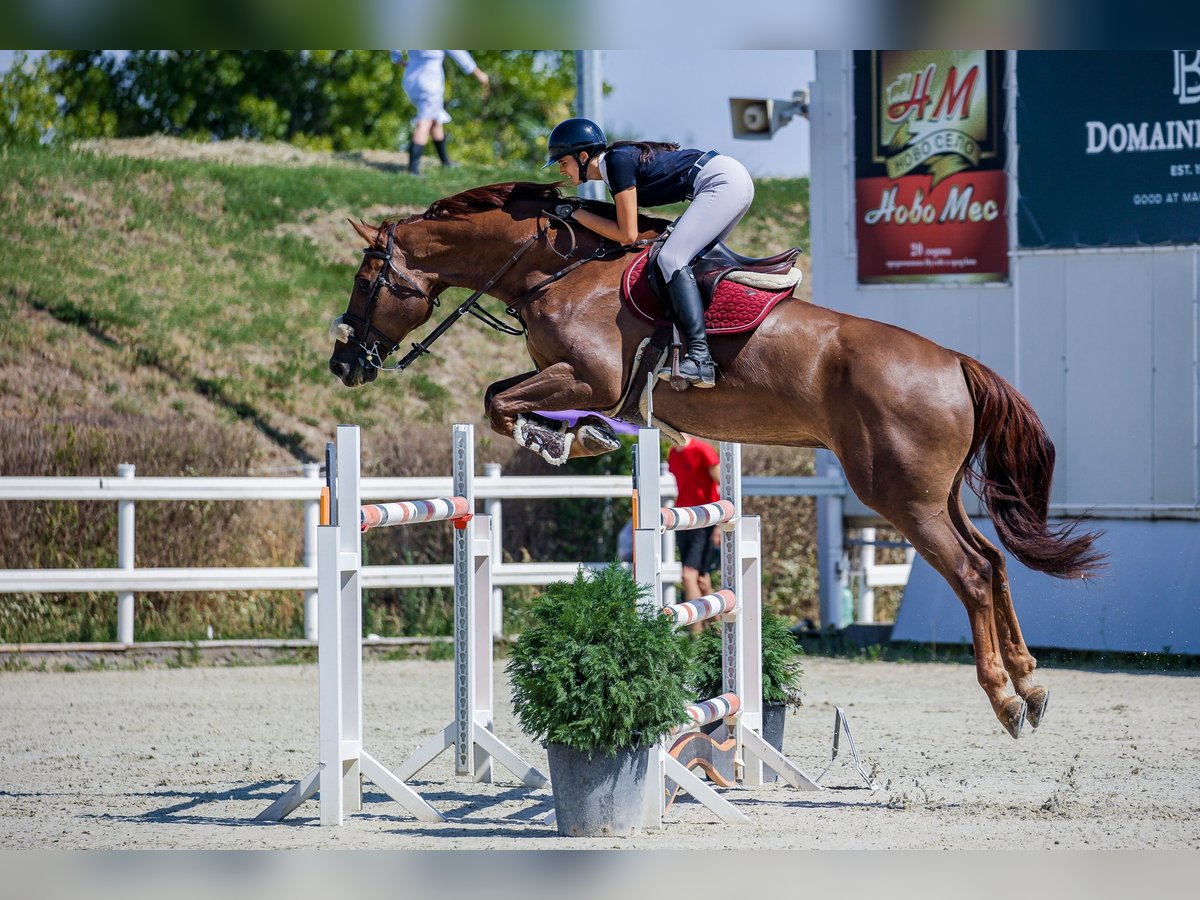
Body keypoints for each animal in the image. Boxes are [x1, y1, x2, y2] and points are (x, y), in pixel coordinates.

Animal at [328, 181, 1105, 740]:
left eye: (366, 280)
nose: (345, 364)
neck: (554, 269)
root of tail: (953, 363)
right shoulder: (582, 382)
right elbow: (501, 398)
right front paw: (580, 437)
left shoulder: (591, 379)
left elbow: (500, 401)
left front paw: (565, 439)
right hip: (931, 494)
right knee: (994, 562)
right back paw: (1032, 681)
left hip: (902, 499)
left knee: (971, 573)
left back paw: (1006, 700)